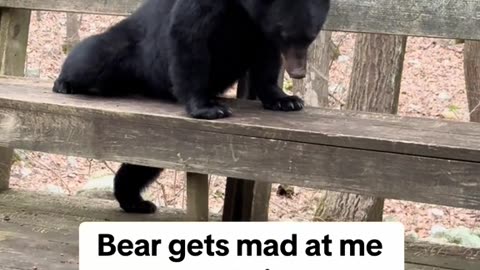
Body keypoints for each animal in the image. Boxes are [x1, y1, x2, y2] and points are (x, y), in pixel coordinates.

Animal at [52, 0, 330, 212]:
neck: (243, 7)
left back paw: (135, 201)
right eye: (286, 34)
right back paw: (64, 82)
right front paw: (208, 107)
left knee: (145, 163)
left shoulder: (258, 28)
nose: (299, 72)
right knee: (92, 57)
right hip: (128, 50)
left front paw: (286, 99)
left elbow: (266, 58)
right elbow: (190, 35)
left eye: (311, 36)